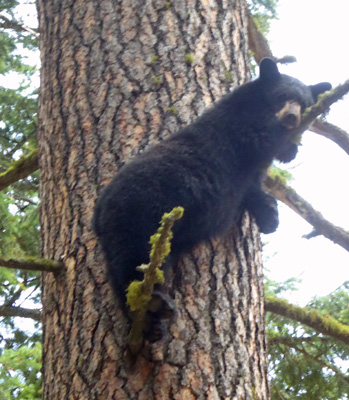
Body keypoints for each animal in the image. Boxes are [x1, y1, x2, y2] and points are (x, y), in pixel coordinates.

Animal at [92, 58, 328, 322]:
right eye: (281, 96)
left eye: (305, 104)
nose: (291, 116)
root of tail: (98, 212)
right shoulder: (239, 127)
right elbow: (260, 135)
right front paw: (287, 146)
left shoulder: (247, 175)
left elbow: (254, 191)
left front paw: (270, 218)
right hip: (143, 211)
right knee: (135, 255)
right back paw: (153, 299)